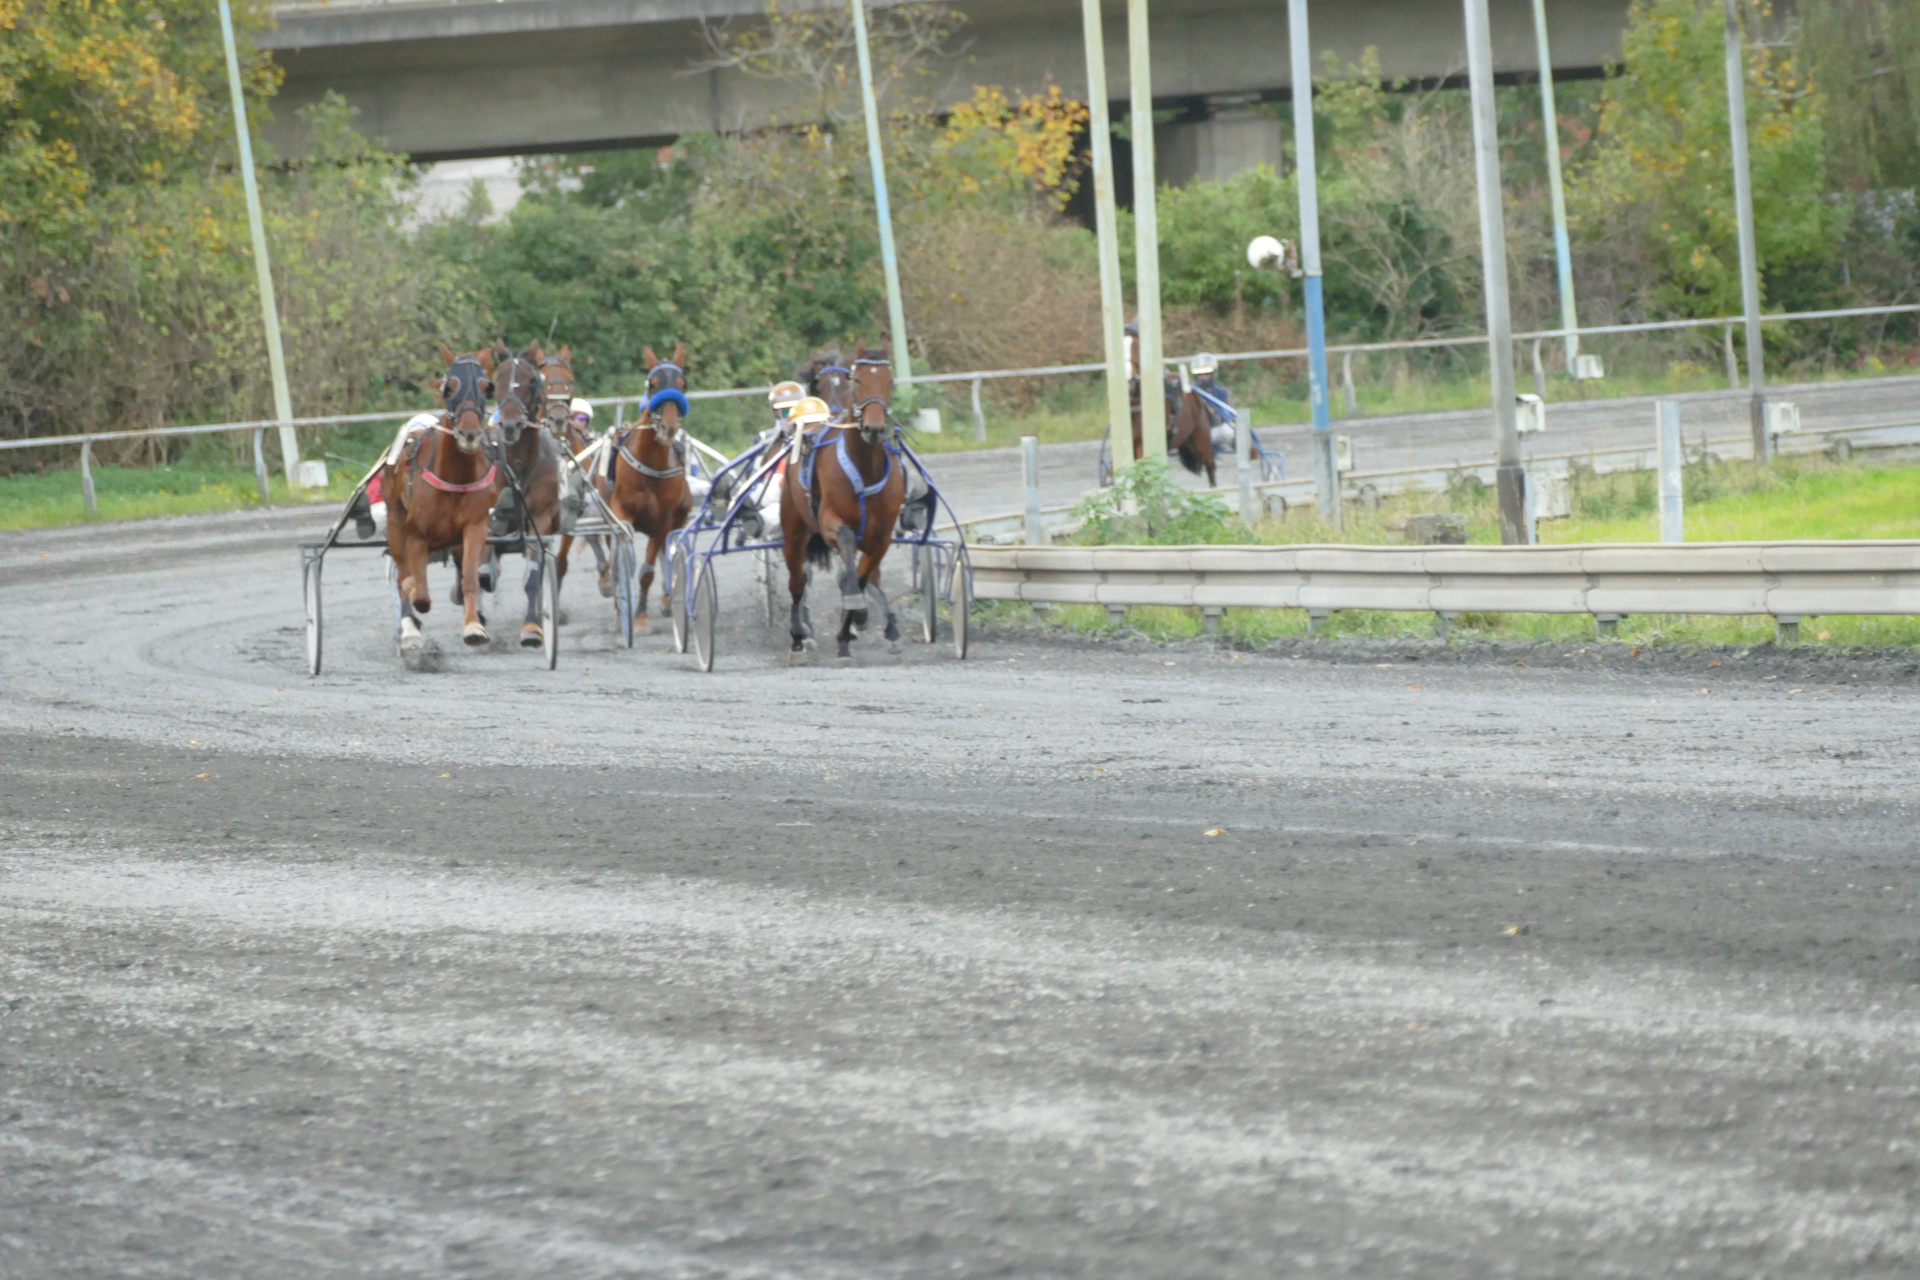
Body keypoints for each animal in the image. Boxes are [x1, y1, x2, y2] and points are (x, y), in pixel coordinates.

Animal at [383, 345, 505, 651]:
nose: (469, 433)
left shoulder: (475, 526)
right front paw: (413, 611)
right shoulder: (415, 534)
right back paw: (409, 629)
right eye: (449, 387)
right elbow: (417, 591)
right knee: (402, 572)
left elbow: (470, 578)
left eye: (487, 387)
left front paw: (473, 626)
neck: (455, 477)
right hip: (394, 520)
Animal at [605, 344, 693, 630]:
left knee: (668, 550)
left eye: (683, 384)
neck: (650, 464)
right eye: (652, 384)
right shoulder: (620, 511)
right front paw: (621, 610)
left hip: (679, 516)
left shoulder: (663, 520)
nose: (669, 426)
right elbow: (622, 558)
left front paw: (641, 616)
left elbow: (648, 570)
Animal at [780, 340, 906, 663]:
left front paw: (847, 633)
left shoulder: (881, 536)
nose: (874, 428)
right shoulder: (829, 523)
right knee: (797, 583)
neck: (864, 466)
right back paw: (797, 638)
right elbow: (847, 545)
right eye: (858, 379)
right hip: (794, 531)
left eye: (890, 381)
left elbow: (861, 576)